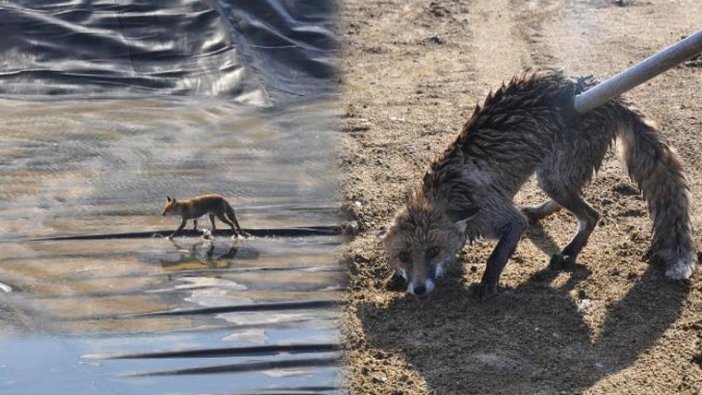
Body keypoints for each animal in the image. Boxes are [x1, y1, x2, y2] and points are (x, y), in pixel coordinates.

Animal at [384, 71, 700, 300]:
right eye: (404, 256)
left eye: (433, 251)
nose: (419, 290)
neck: (448, 188)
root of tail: (600, 91)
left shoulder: (502, 217)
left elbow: (497, 255)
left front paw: (487, 285)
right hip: (553, 176)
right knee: (569, 203)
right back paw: (540, 213)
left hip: (553, 176)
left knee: (591, 215)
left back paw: (569, 253)